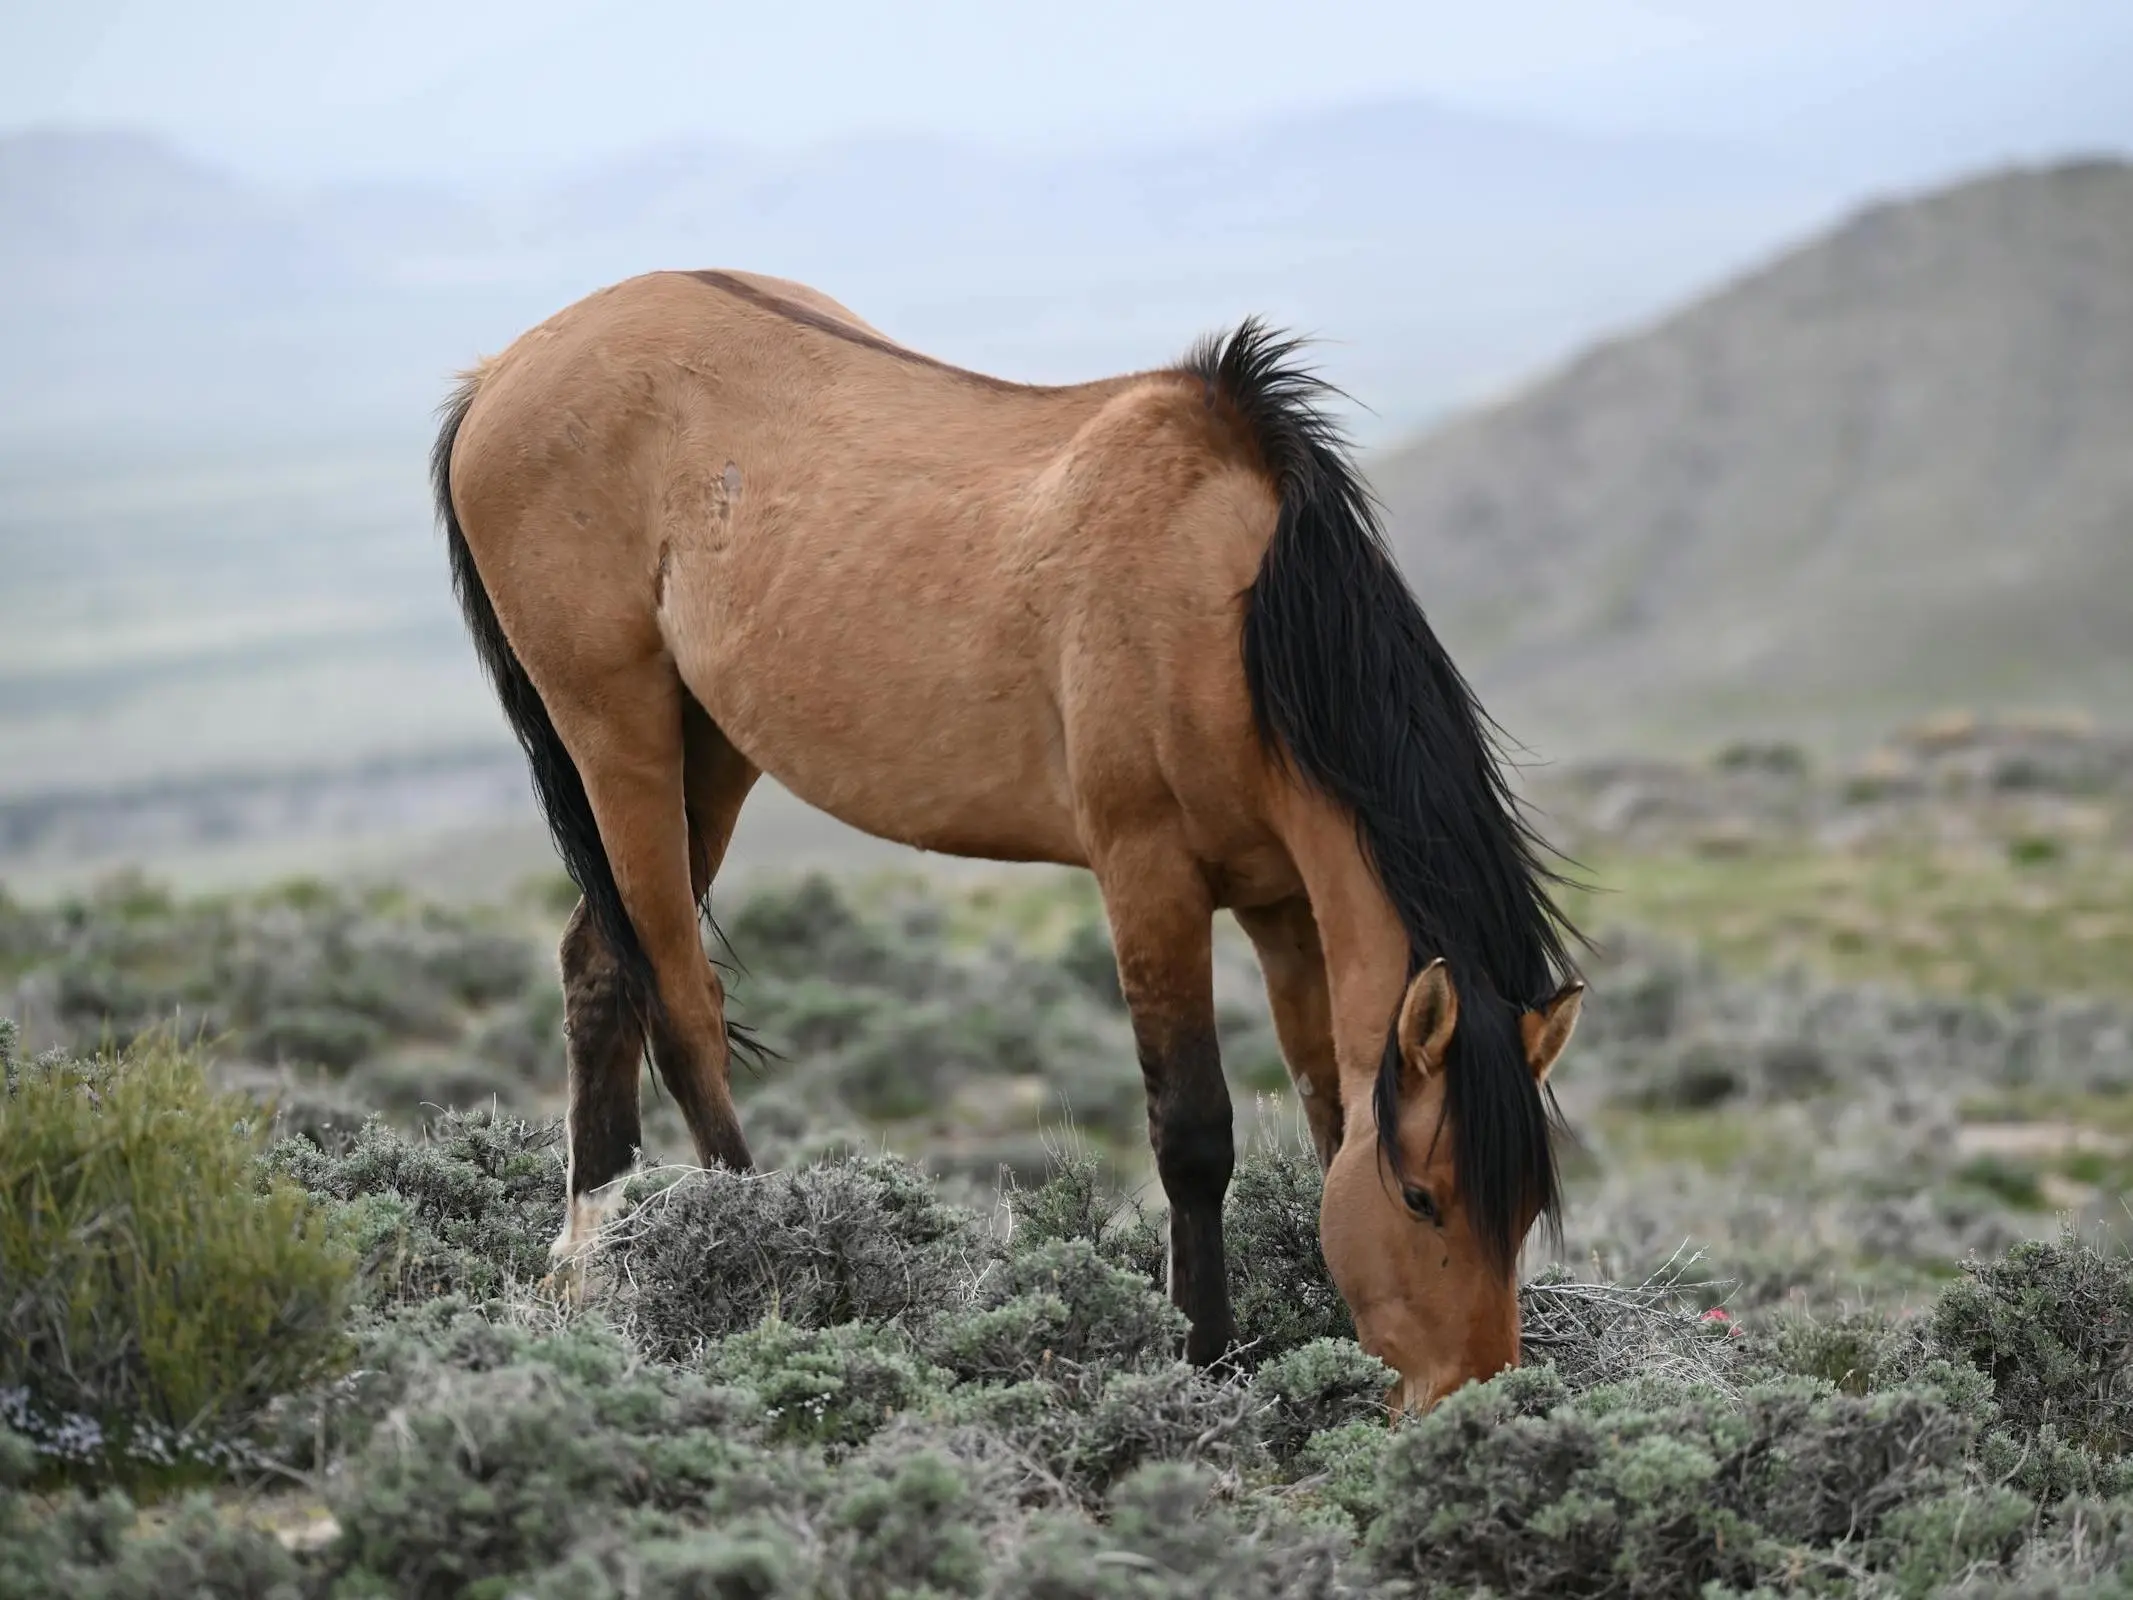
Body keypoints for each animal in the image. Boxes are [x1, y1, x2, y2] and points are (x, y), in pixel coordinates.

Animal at [437, 269, 1586, 1408]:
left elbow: (1326, 1114)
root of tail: (501, 373)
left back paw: (589, 1267)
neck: (1232, 611)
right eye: (1422, 1195)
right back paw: (749, 1254)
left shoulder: (1282, 904)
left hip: (709, 748)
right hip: (615, 731)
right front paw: (1204, 1354)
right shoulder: (1148, 876)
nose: (1478, 1392)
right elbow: (1194, 1132)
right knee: (679, 1002)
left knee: (600, 963)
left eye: (1529, 1203)